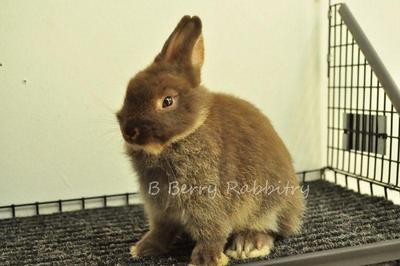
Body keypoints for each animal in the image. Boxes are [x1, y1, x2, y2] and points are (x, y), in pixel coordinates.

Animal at [117, 15, 304, 266]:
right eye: (130, 88)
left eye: (167, 101)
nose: (129, 131)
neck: (186, 134)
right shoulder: (160, 206)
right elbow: (161, 229)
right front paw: (143, 249)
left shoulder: (207, 197)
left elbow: (211, 231)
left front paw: (206, 259)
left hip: (269, 204)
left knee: (270, 228)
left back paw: (249, 245)